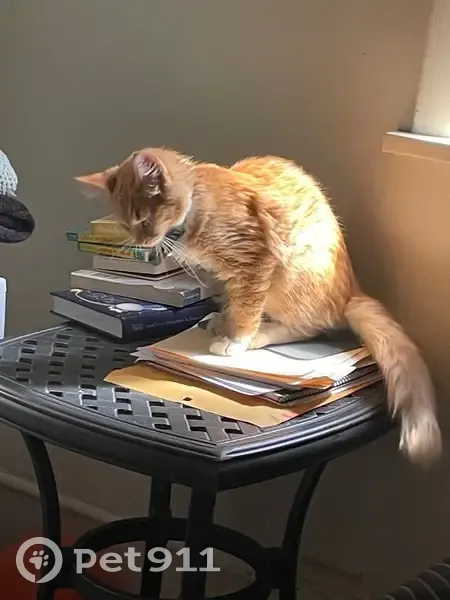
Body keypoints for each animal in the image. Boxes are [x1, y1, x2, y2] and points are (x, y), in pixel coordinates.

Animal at [76, 147, 442, 465]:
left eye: (142, 219)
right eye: (126, 223)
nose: (141, 243)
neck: (198, 207)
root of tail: (351, 291)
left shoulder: (255, 264)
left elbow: (248, 308)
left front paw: (237, 340)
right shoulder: (229, 276)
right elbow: (237, 304)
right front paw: (225, 322)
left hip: (292, 277)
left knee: (306, 326)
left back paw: (258, 336)